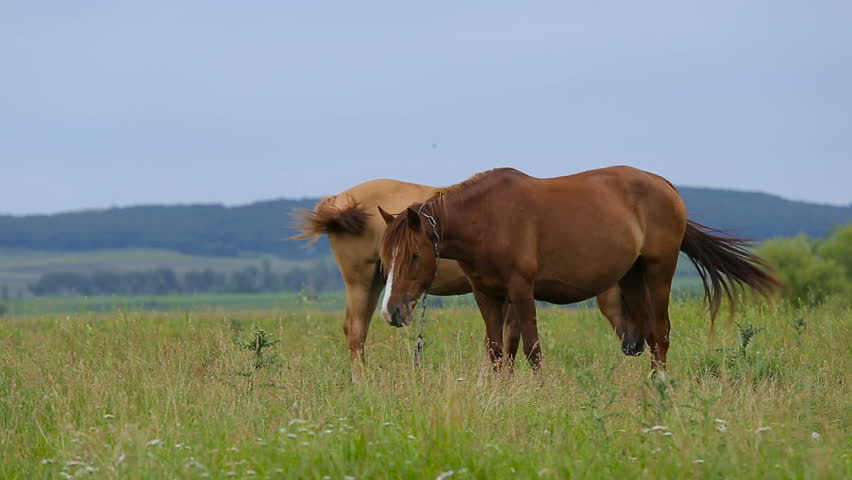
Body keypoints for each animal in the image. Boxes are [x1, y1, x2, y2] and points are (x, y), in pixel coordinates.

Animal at [380, 166, 782, 376]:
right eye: (385, 258)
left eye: (414, 256)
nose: (391, 312)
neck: (487, 219)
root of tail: (667, 187)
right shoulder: (486, 293)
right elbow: (497, 351)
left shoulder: (521, 289)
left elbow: (531, 349)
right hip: (632, 277)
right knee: (650, 334)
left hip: (659, 271)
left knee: (662, 335)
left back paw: (662, 391)